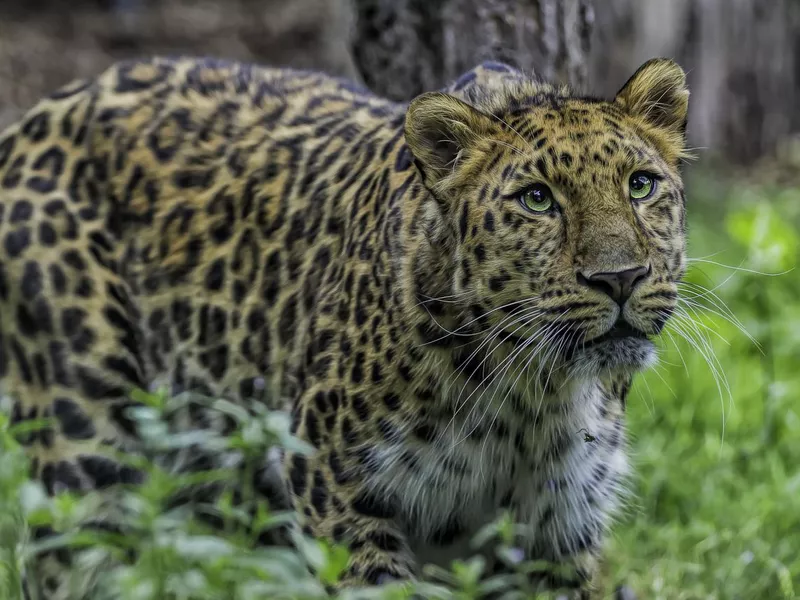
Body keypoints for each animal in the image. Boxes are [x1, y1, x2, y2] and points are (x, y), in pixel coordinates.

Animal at [0, 55, 692, 596]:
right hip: (85, 455)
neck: (534, 397)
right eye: (537, 199)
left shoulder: (557, 532)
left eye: (640, 186)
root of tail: (37, 115)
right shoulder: (339, 489)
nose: (621, 278)